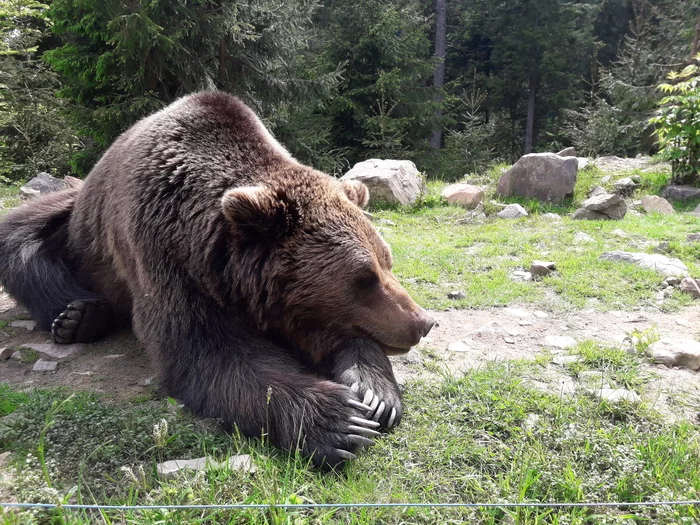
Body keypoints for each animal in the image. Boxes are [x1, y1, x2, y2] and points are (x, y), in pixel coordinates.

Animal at [0, 90, 434, 466]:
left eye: (386, 263)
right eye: (363, 278)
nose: (424, 322)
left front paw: (373, 393)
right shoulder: (167, 260)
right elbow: (207, 352)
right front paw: (339, 419)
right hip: (79, 230)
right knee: (20, 241)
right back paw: (78, 317)